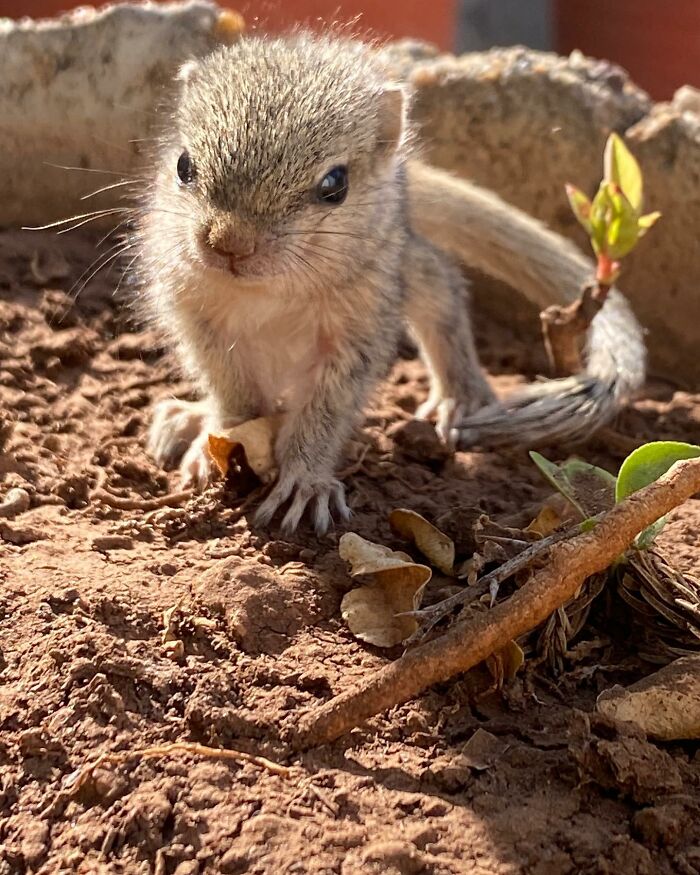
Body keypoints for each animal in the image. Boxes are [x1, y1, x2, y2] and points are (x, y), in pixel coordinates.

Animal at [137, 34, 644, 532]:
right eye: (183, 165)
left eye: (335, 184)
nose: (229, 244)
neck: (267, 290)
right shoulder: (196, 316)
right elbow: (232, 395)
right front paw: (220, 443)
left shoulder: (358, 331)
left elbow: (326, 412)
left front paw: (305, 481)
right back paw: (186, 419)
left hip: (411, 270)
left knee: (444, 298)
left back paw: (457, 399)